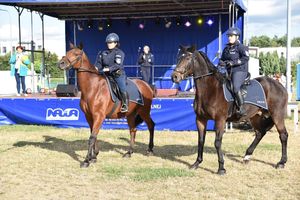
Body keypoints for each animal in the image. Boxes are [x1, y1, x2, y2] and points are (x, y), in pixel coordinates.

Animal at [172, 45, 290, 175]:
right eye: (178, 57)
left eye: (188, 58)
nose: (174, 77)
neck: (210, 89)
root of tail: (279, 86)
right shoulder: (200, 119)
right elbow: (201, 140)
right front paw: (196, 163)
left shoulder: (220, 120)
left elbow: (217, 142)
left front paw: (221, 168)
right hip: (255, 116)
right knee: (260, 133)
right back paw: (247, 156)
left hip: (277, 115)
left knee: (283, 135)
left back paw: (281, 162)